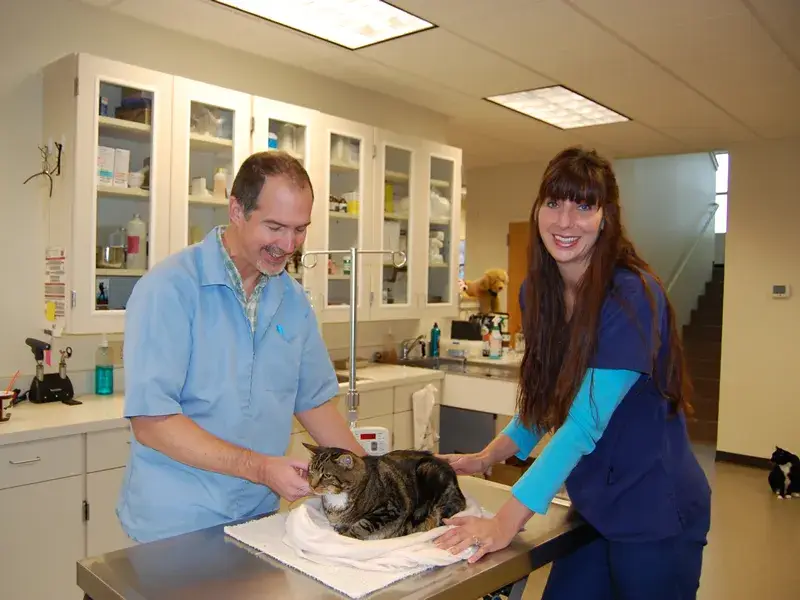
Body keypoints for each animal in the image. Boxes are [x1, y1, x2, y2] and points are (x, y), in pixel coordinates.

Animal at [302, 442, 466, 540]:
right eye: (311, 471)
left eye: (327, 475)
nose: (312, 485)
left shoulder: (389, 509)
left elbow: (361, 526)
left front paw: (347, 535)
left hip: (428, 471)